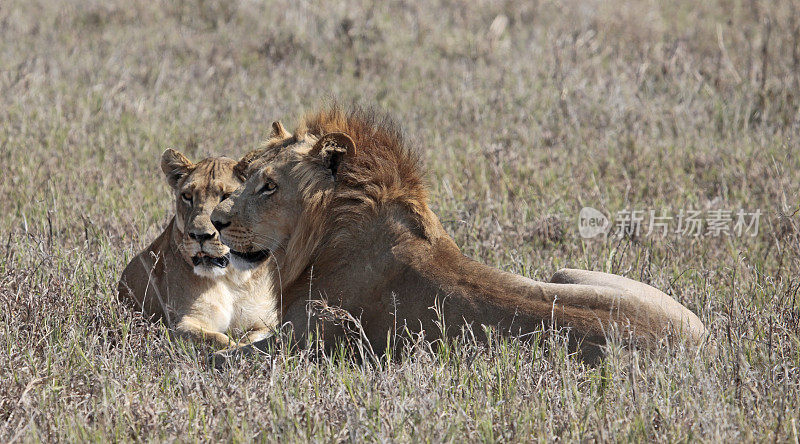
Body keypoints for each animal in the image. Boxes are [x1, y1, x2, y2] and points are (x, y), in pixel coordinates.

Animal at [115, 148, 278, 346]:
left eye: (227, 197)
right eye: (187, 196)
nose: (200, 236)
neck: (234, 279)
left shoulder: (268, 321)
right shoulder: (183, 324)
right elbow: (220, 340)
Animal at [208, 106, 708, 362]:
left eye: (269, 186)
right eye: (245, 174)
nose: (215, 221)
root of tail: (705, 344)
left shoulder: (299, 347)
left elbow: (218, 358)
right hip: (566, 271)